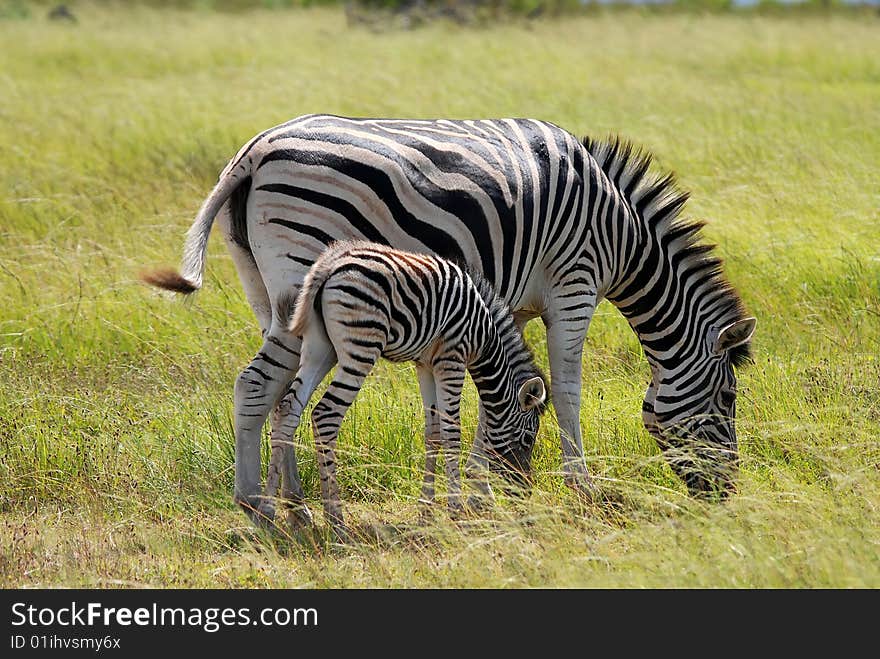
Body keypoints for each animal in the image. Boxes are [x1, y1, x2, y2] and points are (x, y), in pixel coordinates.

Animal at [254, 240, 548, 540]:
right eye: (528, 438)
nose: (524, 490)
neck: (485, 337)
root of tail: (327, 266)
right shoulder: (452, 358)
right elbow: (452, 433)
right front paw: (455, 511)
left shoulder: (426, 365)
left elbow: (433, 434)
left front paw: (427, 511)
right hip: (361, 346)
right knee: (326, 414)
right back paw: (336, 521)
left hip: (319, 347)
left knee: (288, 409)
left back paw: (268, 512)